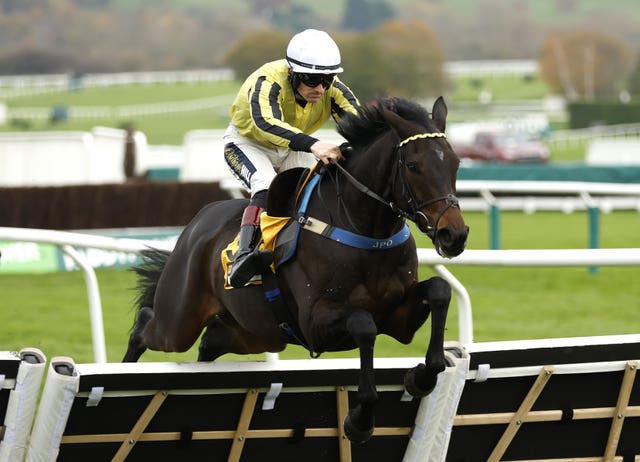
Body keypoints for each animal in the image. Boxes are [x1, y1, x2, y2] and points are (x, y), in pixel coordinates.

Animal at [122, 94, 468, 444]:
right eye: (413, 166)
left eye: (455, 163)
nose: (454, 235)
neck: (366, 230)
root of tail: (197, 222)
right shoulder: (315, 322)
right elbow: (363, 324)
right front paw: (360, 419)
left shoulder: (398, 319)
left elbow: (439, 291)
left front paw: (422, 377)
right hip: (179, 321)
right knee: (145, 326)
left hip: (254, 333)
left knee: (209, 342)